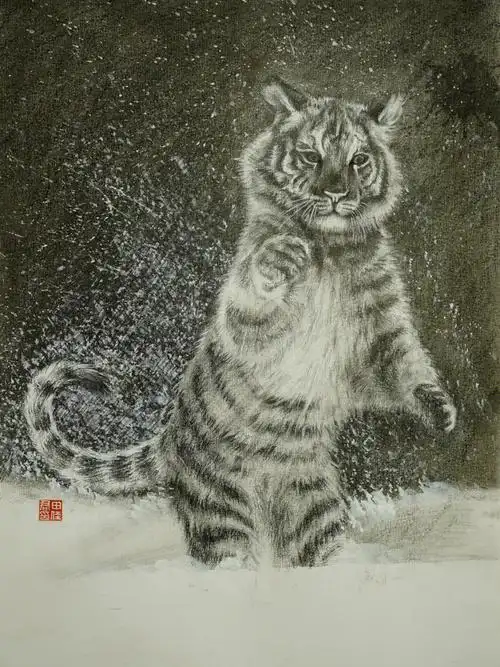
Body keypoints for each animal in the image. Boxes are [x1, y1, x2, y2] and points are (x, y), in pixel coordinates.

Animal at [24, 76, 457, 568]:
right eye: (311, 156)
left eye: (358, 160)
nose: (335, 194)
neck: (328, 246)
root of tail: (171, 436)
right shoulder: (246, 323)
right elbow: (252, 297)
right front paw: (278, 260)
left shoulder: (381, 328)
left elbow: (404, 364)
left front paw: (439, 408)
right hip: (219, 503)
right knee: (227, 552)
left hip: (313, 502)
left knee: (313, 547)